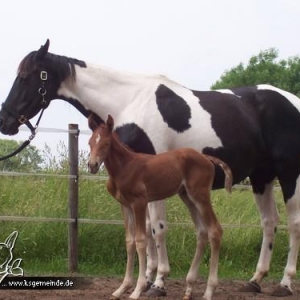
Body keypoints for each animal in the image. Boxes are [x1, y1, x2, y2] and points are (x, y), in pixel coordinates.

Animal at [86, 113, 232, 300]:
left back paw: (208, 291)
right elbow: (129, 242)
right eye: (90, 142)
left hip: (200, 195)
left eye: (105, 143)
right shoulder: (125, 206)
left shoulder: (139, 203)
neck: (124, 167)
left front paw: (137, 290)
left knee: (215, 230)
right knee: (202, 232)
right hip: (187, 196)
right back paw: (189, 289)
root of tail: (206, 158)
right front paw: (121, 288)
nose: (92, 165)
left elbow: (140, 241)